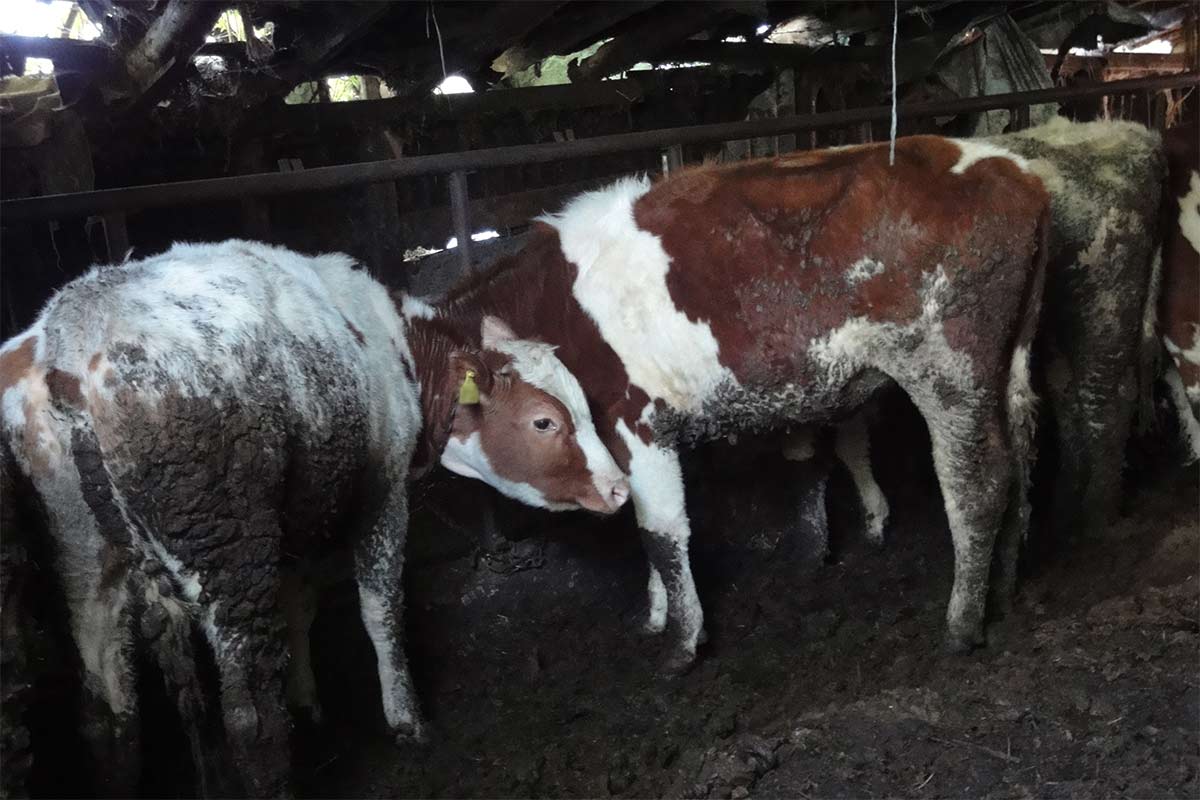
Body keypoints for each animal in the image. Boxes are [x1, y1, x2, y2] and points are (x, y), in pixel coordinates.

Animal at [0, 241, 633, 796]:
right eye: (544, 422)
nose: (619, 488)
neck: (401, 351)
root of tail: (75, 335)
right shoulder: (381, 489)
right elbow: (380, 609)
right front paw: (406, 720)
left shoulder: (296, 513)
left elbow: (300, 602)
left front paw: (311, 703)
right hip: (227, 546)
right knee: (248, 713)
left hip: (83, 552)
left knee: (107, 706)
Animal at [432, 137, 1051, 671]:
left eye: (544, 420)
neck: (551, 301)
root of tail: (1020, 173)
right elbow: (644, 525)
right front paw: (658, 616)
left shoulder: (634, 419)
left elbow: (660, 531)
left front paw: (683, 646)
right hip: (1010, 360)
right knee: (1022, 461)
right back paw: (1006, 587)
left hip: (948, 364)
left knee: (978, 482)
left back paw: (962, 625)